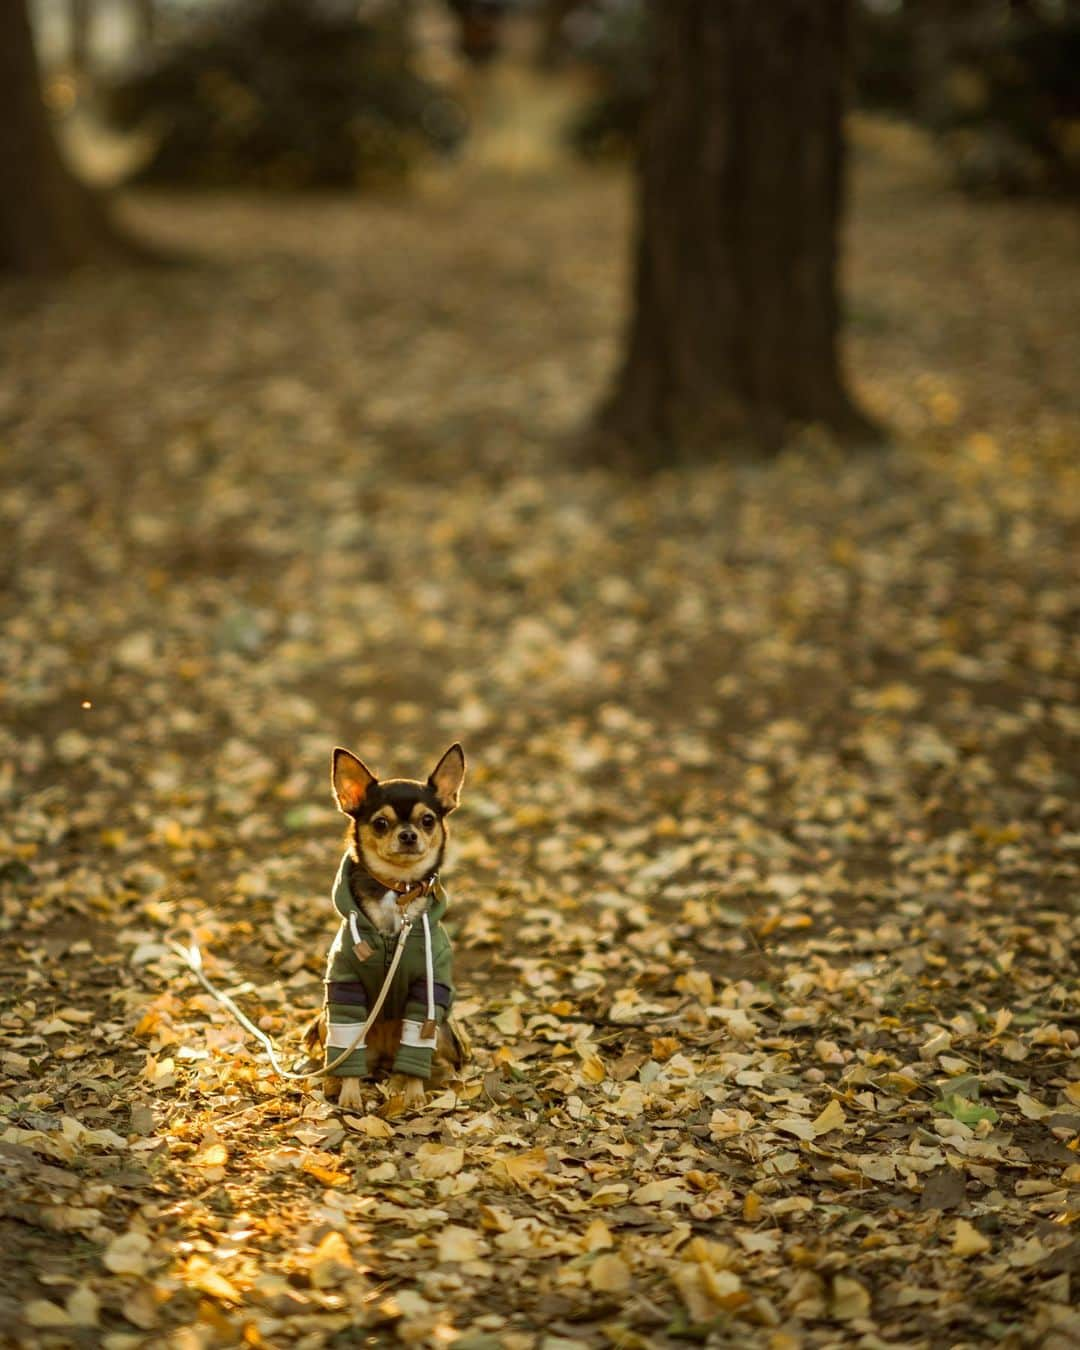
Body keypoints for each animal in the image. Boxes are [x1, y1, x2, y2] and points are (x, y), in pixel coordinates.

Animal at [306, 750, 469, 1107]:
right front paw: (350, 1095)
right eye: (381, 823)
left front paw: (413, 1093)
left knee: (432, 1065)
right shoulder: (345, 988)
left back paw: (399, 1082)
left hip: (441, 1030)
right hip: (328, 1021)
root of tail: (381, 1057)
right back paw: (336, 1081)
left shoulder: (427, 993)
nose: (408, 835)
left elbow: (417, 1052)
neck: (398, 891)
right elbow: (347, 1056)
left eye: (428, 820)